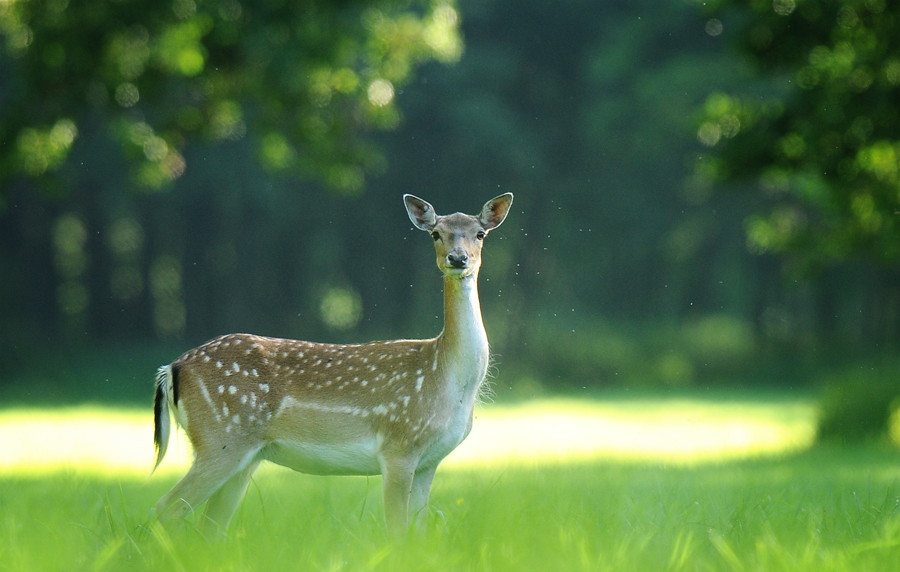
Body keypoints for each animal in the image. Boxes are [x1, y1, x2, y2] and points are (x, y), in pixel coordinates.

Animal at [153, 192, 512, 536]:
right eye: (436, 233)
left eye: (480, 233)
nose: (458, 258)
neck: (447, 377)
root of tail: (171, 368)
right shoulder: (398, 445)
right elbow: (397, 531)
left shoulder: (429, 461)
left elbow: (418, 532)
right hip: (221, 438)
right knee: (166, 508)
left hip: (245, 455)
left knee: (210, 526)